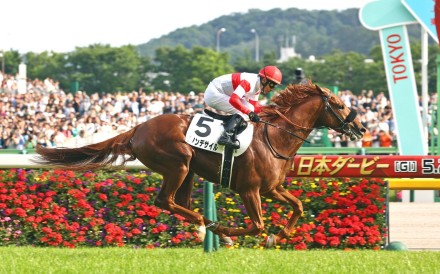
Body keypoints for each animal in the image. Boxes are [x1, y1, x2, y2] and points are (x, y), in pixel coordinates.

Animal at [33, 81, 364, 248]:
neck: (274, 137)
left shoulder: (272, 188)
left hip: (189, 171)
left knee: (178, 203)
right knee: (164, 201)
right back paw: (207, 228)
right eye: (339, 104)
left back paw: (204, 227)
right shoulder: (249, 190)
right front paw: (232, 232)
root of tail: (137, 129)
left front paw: (279, 235)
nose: (360, 128)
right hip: (178, 164)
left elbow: (297, 206)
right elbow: (257, 225)